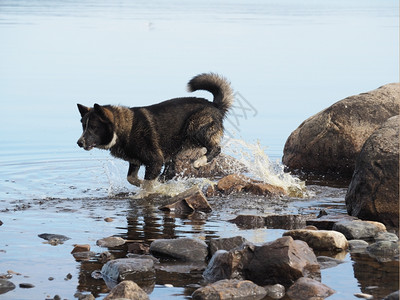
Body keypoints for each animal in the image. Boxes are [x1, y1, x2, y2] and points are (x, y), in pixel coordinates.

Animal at [76, 73, 233, 190]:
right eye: (83, 126)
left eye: (93, 127)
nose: (79, 143)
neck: (125, 129)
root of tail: (214, 105)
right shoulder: (135, 161)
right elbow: (132, 179)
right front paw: (147, 184)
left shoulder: (155, 160)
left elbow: (147, 184)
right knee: (170, 171)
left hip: (195, 127)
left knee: (215, 148)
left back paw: (200, 161)